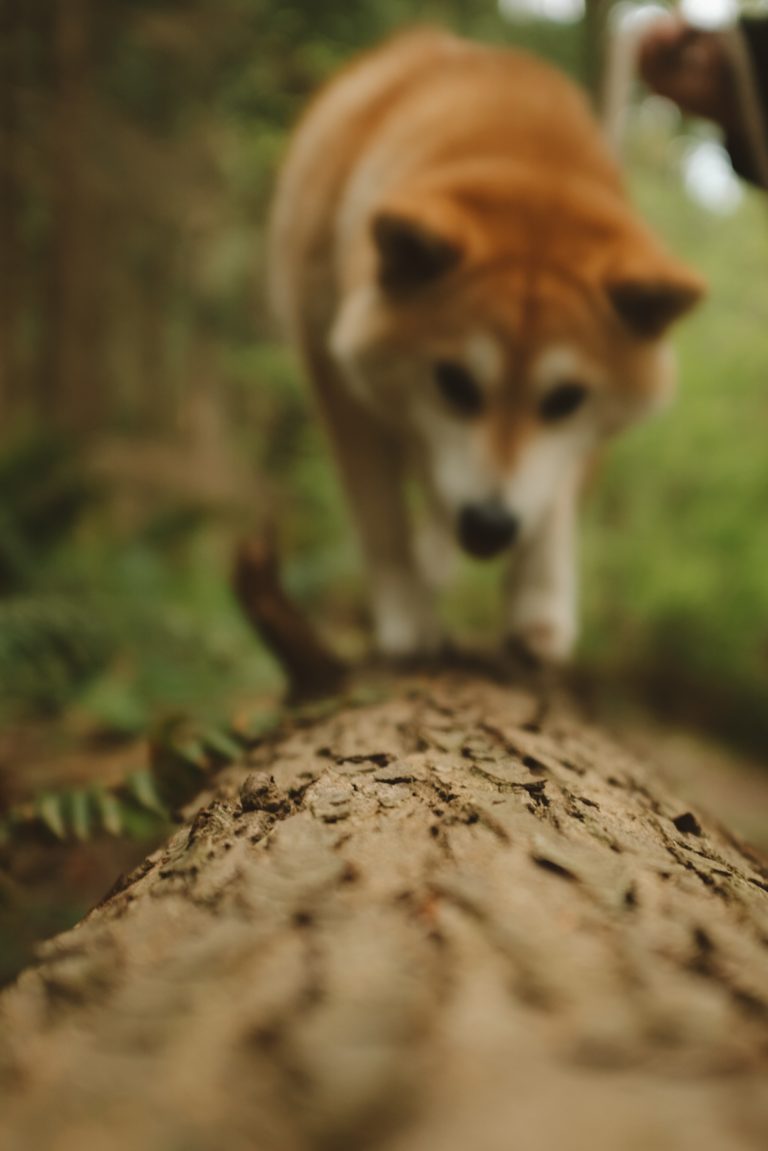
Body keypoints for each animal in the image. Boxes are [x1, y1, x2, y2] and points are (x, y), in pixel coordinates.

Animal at [269, 29, 704, 667]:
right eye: (453, 381)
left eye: (565, 399)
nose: (489, 526)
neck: (524, 154)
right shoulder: (335, 379)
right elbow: (380, 515)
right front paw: (407, 608)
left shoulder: (573, 444)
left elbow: (550, 503)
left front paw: (539, 603)